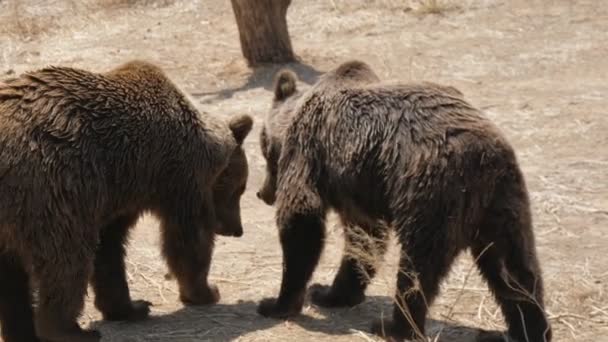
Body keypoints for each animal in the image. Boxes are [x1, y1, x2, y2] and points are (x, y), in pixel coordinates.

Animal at [0, 61, 252, 342]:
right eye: (240, 188)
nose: (237, 229)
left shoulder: (116, 196)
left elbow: (109, 251)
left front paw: (132, 307)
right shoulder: (176, 181)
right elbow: (188, 239)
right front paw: (206, 291)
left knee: (12, 278)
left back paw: (23, 332)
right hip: (51, 185)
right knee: (67, 258)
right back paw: (71, 330)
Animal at [255, 60, 552, 342]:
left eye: (264, 148)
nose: (263, 193)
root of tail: (486, 158)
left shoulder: (310, 152)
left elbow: (301, 218)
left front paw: (277, 303)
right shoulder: (358, 184)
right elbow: (364, 240)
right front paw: (330, 293)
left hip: (431, 193)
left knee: (419, 267)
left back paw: (394, 326)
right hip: (504, 205)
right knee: (515, 269)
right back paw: (524, 330)